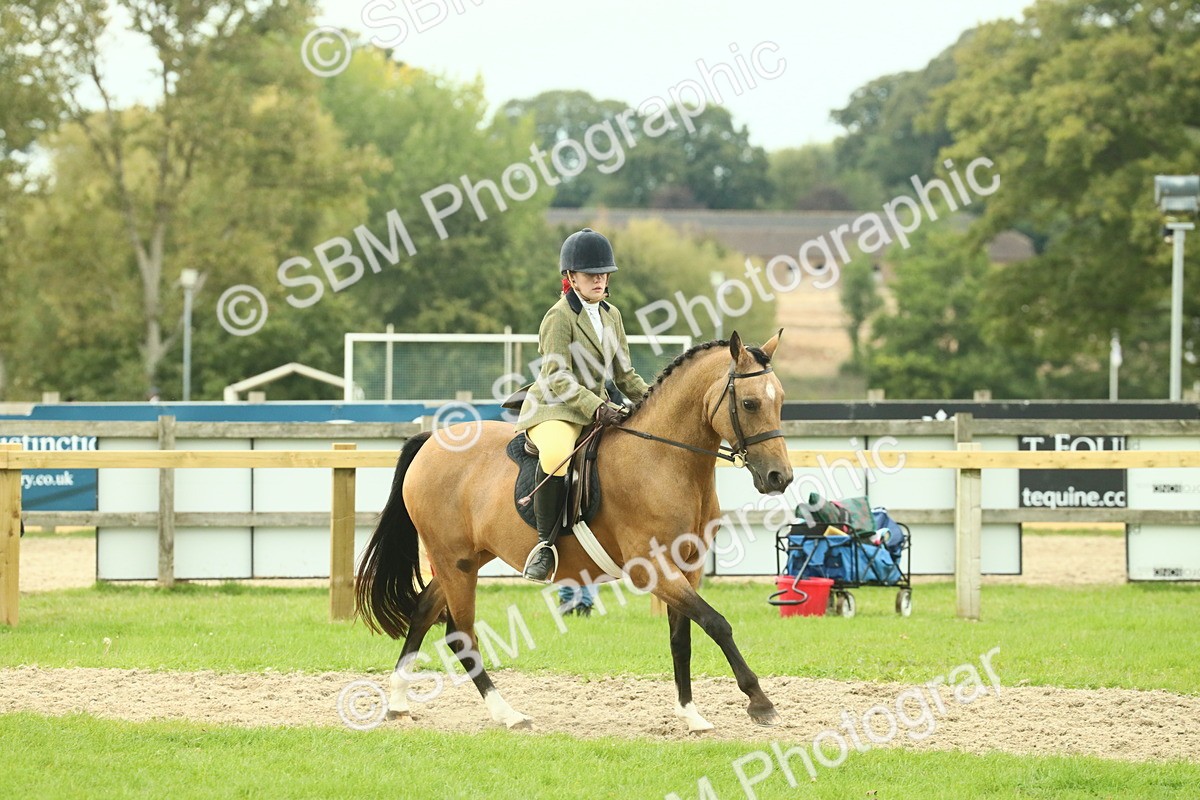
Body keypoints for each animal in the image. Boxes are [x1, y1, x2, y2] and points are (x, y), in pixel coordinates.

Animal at [355, 331, 794, 732]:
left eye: (780, 401)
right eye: (750, 403)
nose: (780, 477)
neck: (665, 460)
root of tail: (432, 440)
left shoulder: (689, 568)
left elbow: (682, 637)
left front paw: (690, 714)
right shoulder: (652, 569)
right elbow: (717, 623)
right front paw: (760, 702)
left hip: (463, 560)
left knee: (423, 613)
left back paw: (398, 703)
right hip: (454, 561)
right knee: (461, 633)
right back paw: (507, 714)